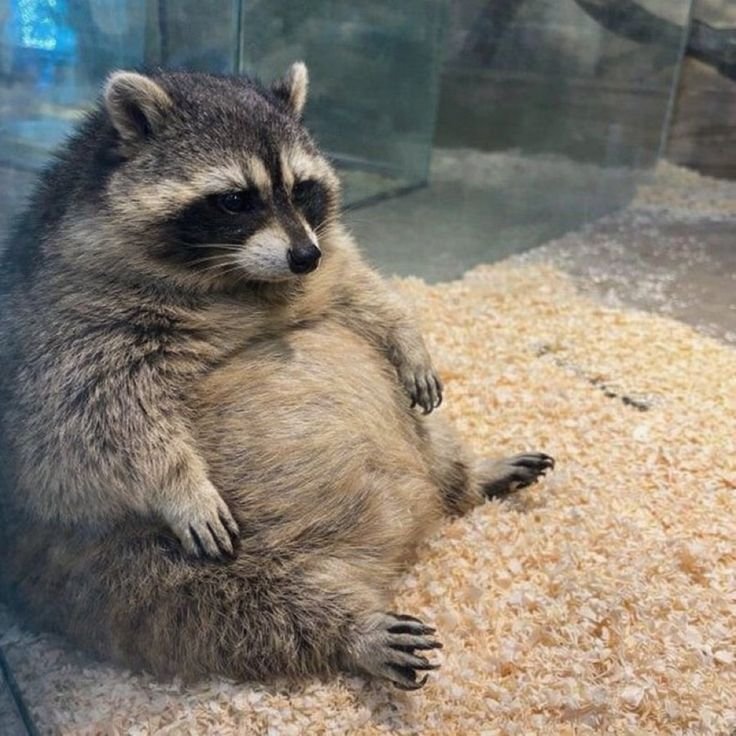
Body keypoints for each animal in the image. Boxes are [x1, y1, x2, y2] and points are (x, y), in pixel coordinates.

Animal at [0, 65, 553, 689]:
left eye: (302, 188)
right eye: (235, 200)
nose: (304, 256)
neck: (240, 278)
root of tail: (407, 533)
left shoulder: (330, 257)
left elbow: (365, 291)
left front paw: (408, 337)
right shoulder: (68, 321)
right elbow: (87, 414)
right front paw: (179, 485)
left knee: (431, 437)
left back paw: (469, 474)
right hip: (125, 565)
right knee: (224, 608)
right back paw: (349, 628)